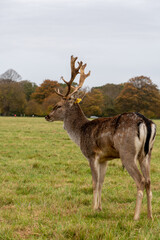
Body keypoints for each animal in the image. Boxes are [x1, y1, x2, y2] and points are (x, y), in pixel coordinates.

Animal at [45, 55, 156, 220]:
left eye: (58, 105)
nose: (47, 116)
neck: (80, 132)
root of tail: (146, 122)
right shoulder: (105, 159)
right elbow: (102, 182)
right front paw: (100, 208)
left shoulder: (92, 155)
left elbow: (94, 182)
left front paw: (93, 208)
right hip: (147, 154)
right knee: (149, 180)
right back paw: (150, 216)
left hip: (127, 153)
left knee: (141, 180)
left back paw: (136, 216)